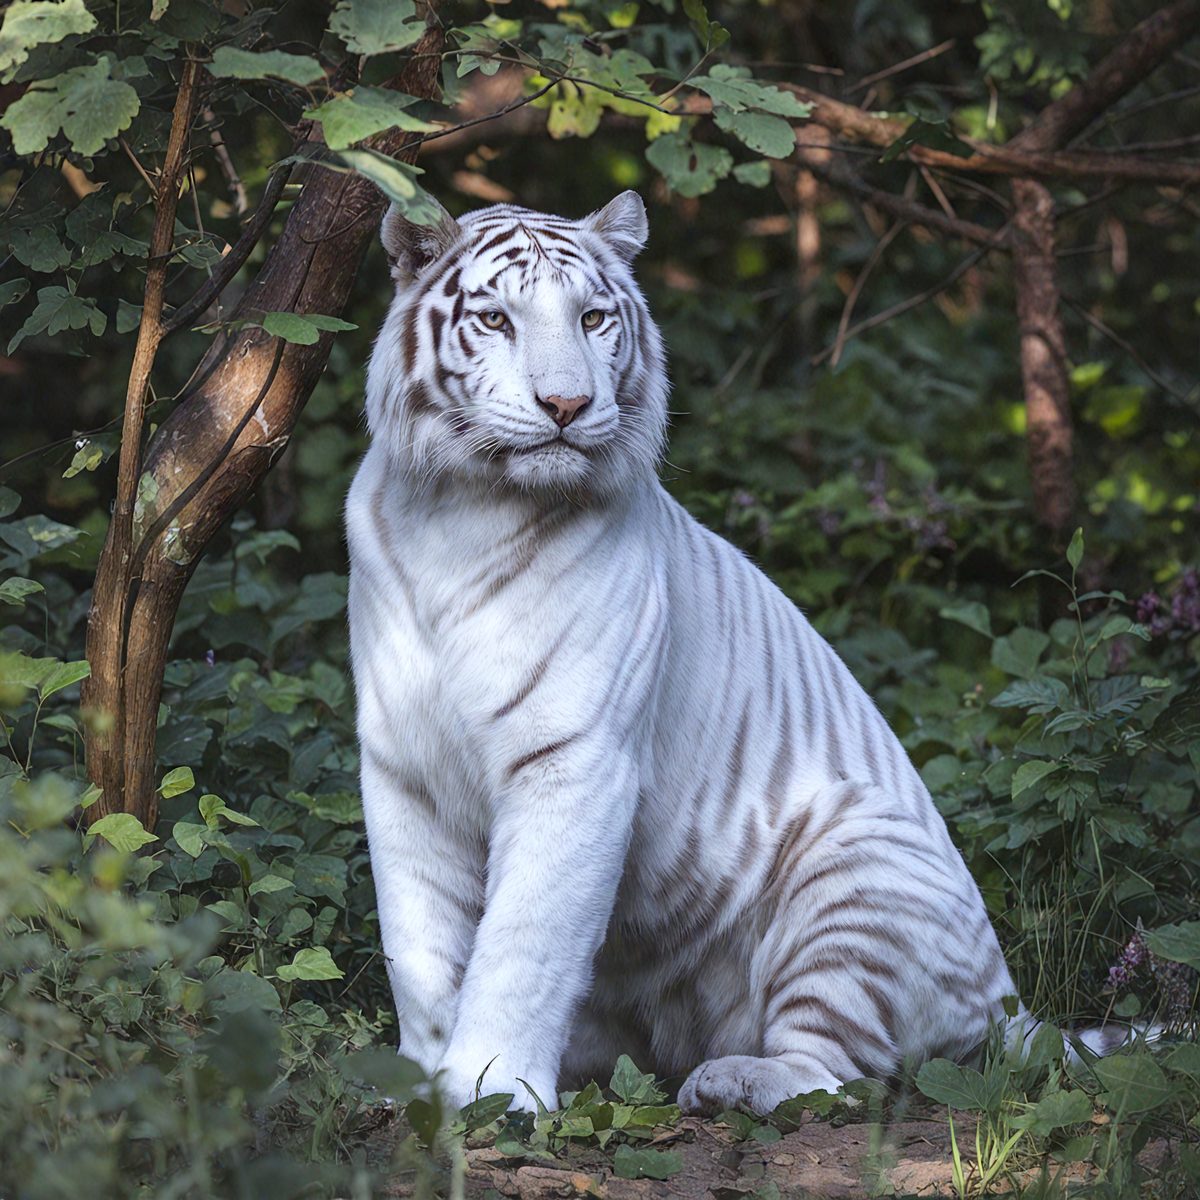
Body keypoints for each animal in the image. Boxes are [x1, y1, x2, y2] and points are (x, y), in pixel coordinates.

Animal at [345, 190, 1121, 1116]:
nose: (566, 404)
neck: (461, 511)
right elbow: (418, 948)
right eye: (495, 319)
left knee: (842, 1072)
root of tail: (1013, 1006)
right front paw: (421, 1083)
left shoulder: (574, 759)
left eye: (593, 317)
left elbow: (524, 940)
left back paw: (731, 1080)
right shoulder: (403, 768)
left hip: (853, 864)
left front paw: (491, 1093)